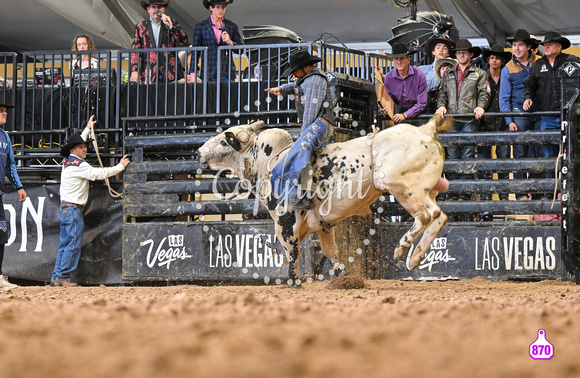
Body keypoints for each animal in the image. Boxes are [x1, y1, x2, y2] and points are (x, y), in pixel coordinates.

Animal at [199, 113, 454, 282]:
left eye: (223, 140)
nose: (200, 152)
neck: (266, 162)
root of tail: (426, 130)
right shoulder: (324, 226)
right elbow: (331, 252)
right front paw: (342, 278)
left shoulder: (285, 220)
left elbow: (292, 251)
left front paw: (293, 282)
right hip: (427, 189)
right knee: (439, 217)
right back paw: (414, 258)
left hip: (403, 187)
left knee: (427, 215)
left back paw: (402, 250)